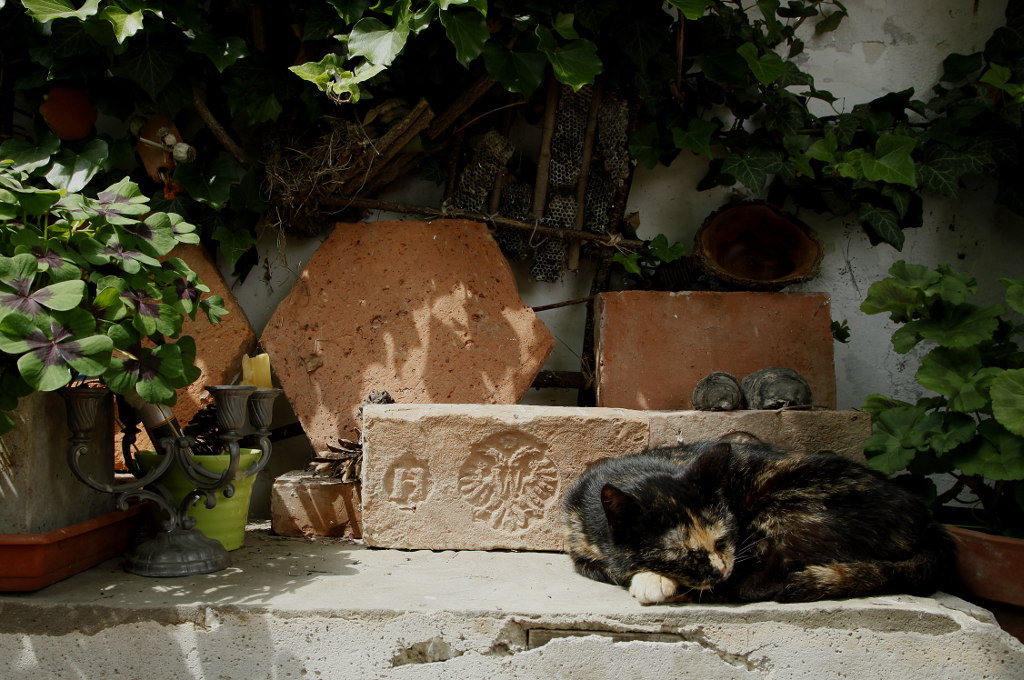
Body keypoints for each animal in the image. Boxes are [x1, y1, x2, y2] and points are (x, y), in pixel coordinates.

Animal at [561, 440, 950, 606]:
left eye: (723, 539)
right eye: (685, 555)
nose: (719, 569)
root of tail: (931, 526)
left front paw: (653, 581)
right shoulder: (580, 554)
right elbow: (607, 568)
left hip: (786, 503)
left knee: (759, 584)